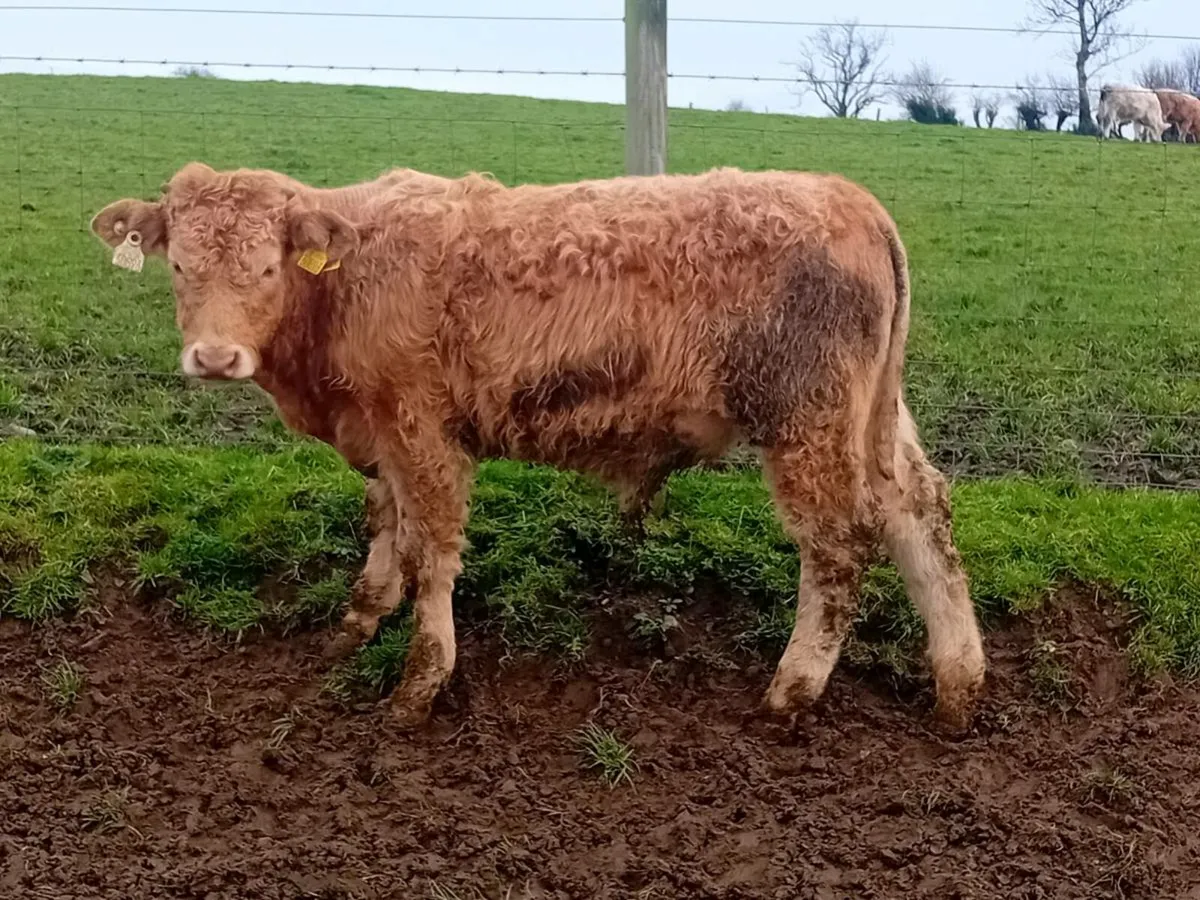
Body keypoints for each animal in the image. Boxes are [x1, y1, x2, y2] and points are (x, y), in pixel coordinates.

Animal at [89, 162, 987, 732]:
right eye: (180, 267)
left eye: (269, 266)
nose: (214, 358)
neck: (347, 281)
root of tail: (848, 196)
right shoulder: (379, 429)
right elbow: (385, 524)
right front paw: (359, 619)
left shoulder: (422, 428)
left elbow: (431, 550)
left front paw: (420, 682)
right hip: (871, 419)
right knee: (920, 512)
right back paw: (958, 683)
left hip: (809, 423)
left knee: (838, 550)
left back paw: (790, 693)